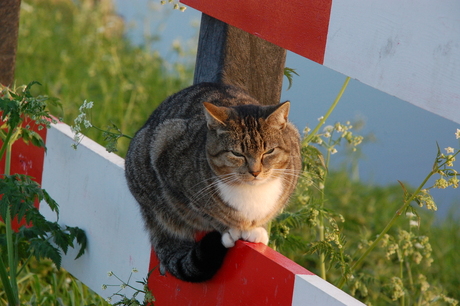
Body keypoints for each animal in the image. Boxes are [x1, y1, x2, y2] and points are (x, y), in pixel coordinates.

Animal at [125, 83, 302, 282]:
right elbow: (206, 212)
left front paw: (257, 229)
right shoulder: (173, 174)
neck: (251, 191)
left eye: (269, 151)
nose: (255, 172)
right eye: (237, 154)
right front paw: (230, 229)